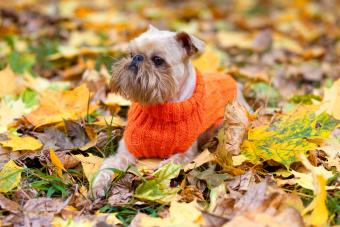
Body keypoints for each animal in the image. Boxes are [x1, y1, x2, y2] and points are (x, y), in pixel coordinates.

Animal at [90, 25, 250, 199]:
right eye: (131, 54)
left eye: (158, 60)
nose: (137, 58)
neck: (161, 107)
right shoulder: (125, 152)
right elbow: (108, 167)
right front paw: (98, 185)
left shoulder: (186, 152)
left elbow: (174, 161)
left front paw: (163, 167)